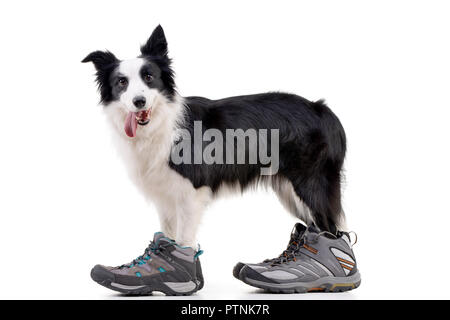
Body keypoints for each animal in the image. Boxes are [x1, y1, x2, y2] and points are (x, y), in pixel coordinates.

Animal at [82, 25, 346, 248]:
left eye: (149, 77)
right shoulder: (165, 195)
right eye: (121, 82)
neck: (161, 124)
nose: (139, 102)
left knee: (331, 228)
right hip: (289, 190)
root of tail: (320, 108)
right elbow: (168, 234)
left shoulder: (191, 193)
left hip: (311, 184)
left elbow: (184, 240)